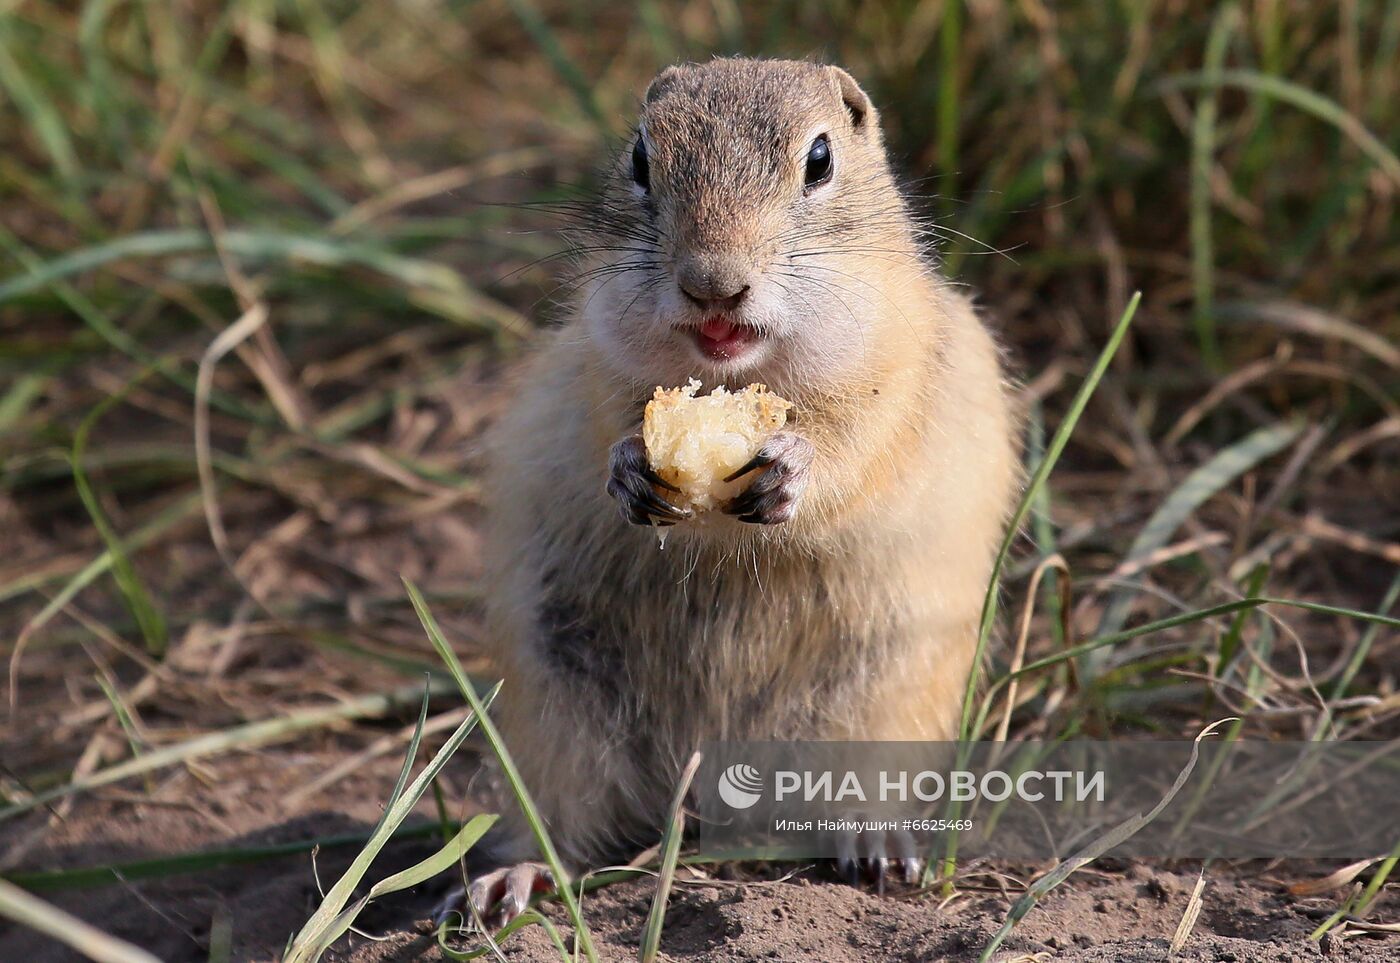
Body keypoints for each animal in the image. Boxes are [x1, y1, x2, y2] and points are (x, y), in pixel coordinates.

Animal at [448, 54, 1019, 923]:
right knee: (563, 820)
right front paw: (629, 469)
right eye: (640, 158)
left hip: (885, 696)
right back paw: (513, 878)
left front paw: (791, 468)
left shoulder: (898, 374)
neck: (737, 374)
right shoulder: (597, 365)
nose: (712, 285)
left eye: (819, 159)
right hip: (557, 710)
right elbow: (610, 420)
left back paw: (879, 848)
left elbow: (855, 448)